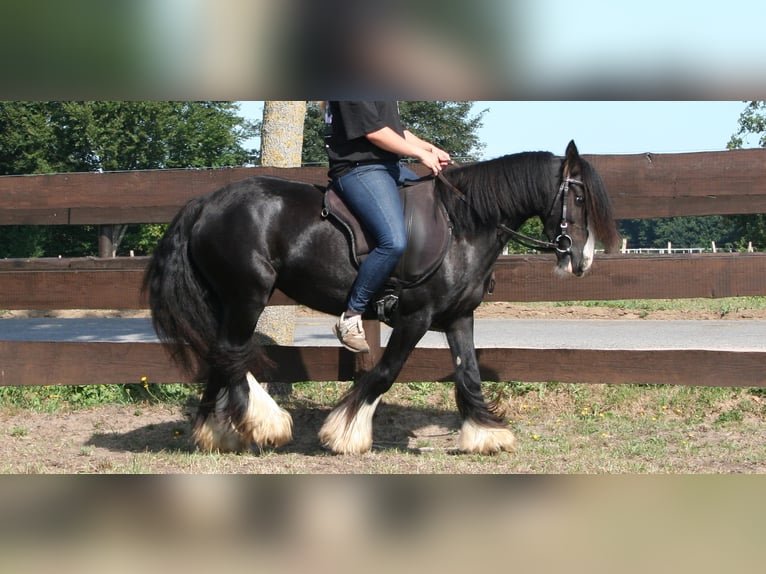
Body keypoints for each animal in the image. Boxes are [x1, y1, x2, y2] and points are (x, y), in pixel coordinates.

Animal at [146, 142, 624, 456]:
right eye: (577, 195)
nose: (582, 260)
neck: (463, 225)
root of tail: (206, 202)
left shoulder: (459, 317)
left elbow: (468, 373)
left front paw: (486, 434)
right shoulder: (415, 318)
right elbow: (385, 372)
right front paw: (345, 433)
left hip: (228, 301)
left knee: (221, 357)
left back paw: (217, 433)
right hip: (247, 295)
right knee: (231, 353)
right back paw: (264, 424)